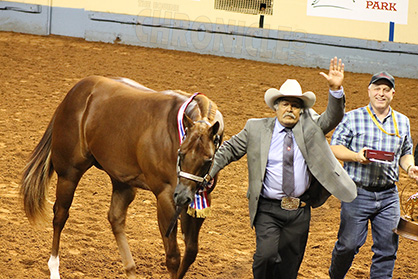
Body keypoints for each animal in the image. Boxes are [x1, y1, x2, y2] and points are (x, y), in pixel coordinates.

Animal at [19, 75, 224, 278]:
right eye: (181, 153)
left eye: (208, 159)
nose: (182, 196)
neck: (176, 128)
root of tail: (77, 89)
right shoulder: (165, 197)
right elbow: (173, 257)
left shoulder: (198, 200)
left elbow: (191, 252)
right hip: (69, 174)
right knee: (60, 215)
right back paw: (54, 268)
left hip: (121, 179)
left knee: (115, 218)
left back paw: (130, 268)